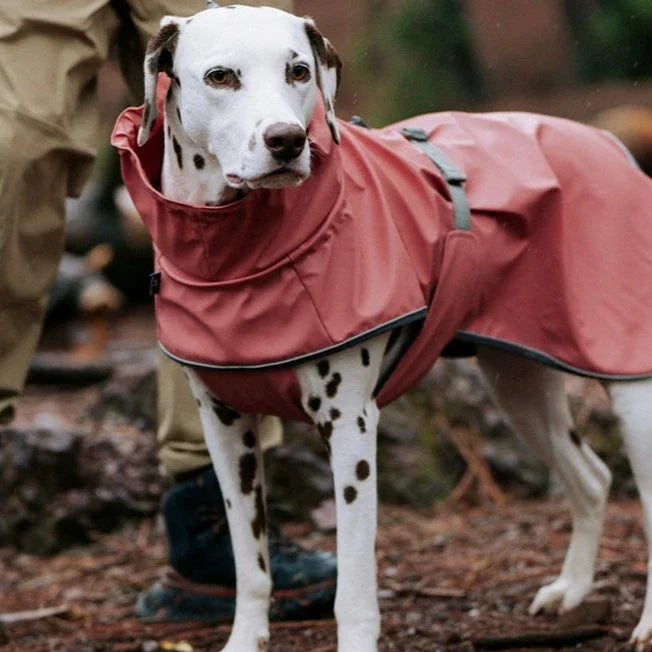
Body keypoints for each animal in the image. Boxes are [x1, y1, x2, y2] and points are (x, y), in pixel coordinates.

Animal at [132, 2, 652, 648]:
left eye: (298, 70)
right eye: (220, 76)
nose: (287, 140)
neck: (237, 259)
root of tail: (607, 140)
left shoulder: (351, 430)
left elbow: (354, 590)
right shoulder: (226, 433)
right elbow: (251, 566)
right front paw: (244, 639)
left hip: (631, 391)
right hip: (521, 392)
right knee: (593, 478)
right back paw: (573, 590)